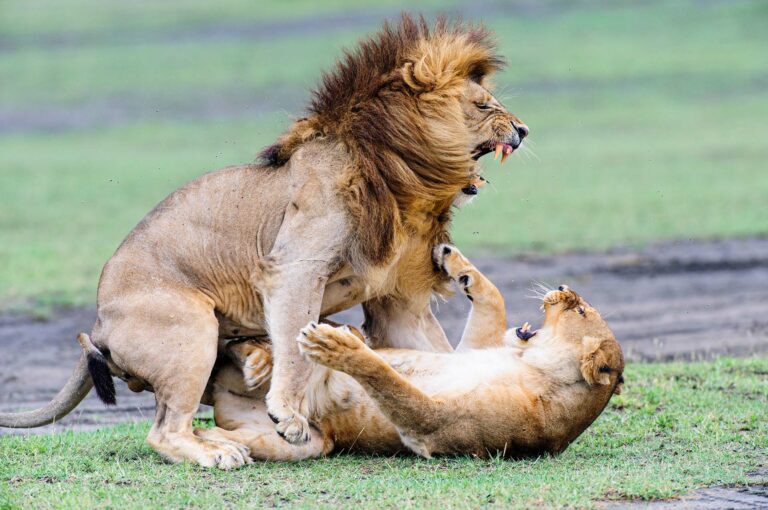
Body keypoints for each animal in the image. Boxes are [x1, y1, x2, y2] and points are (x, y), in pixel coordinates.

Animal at [0, 14, 528, 470]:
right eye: (485, 105)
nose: (523, 130)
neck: (405, 179)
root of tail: (100, 322)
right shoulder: (295, 267)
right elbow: (295, 342)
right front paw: (288, 415)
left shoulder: (399, 300)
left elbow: (431, 355)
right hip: (191, 327)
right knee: (165, 430)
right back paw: (218, 452)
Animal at [192, 245, 624, 464]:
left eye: (581, 311)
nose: (563, 287)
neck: (533, 366)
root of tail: (227, 399)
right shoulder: (469, 349)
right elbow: (494, 298)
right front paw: (455, 261)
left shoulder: (434, 429)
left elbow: (390, 381)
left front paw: (339, 345)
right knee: (241, 352)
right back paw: (256, 364)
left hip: (311, 444)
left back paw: (218, 442)